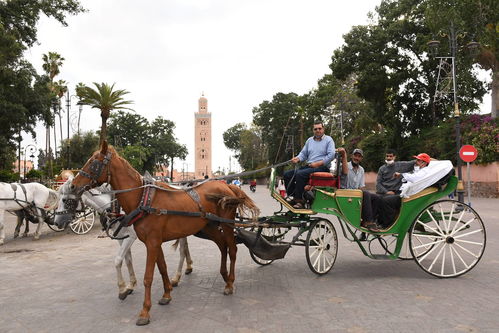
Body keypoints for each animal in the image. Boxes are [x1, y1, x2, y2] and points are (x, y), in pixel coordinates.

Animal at [54, 178, 193, 300]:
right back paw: (189, 267)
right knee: (185, 248)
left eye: (65, 200)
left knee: (182, 251)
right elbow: (128, 260)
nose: (56, 222)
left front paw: (122, 289)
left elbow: (118, 260)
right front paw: (131, 285)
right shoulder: (121, 237)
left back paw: (177, 277)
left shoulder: (130, 237)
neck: (116, 207)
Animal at [70, 142, 260, 324]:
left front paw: (145, 311)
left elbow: (148, 276)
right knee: (222, 246)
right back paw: (225, 276)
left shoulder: (152, 243)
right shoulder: (154, 242)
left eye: (93, 163)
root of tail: (227, 186)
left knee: (232, 249)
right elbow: (162, 268)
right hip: (209, 226)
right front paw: (167, 294)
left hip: (226, 224)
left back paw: (230, 283)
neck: (143, 199)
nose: (73, 186)